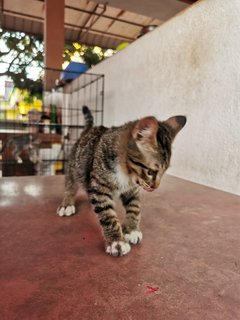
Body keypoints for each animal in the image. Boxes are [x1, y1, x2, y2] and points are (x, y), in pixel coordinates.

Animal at [57, 106, 187, 256]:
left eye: (164, 172)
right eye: (151, 172)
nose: (155, 187)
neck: (126, 174)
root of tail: (88, 130)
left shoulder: (133, 189)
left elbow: (135, 207)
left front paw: (131, 230)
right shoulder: (99, 187)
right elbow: (107, 215)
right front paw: (116, 241)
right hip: (75, 166)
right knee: (70, 184)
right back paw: (67, 203)